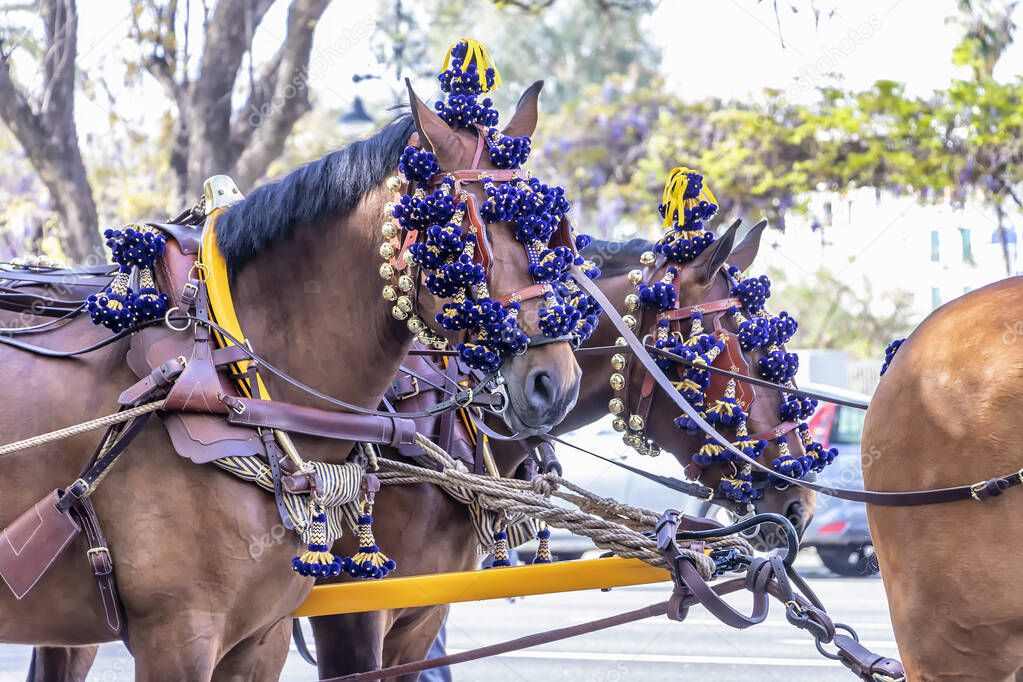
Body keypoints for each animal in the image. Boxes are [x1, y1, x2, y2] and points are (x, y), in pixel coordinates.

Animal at [6, 81, 585, 682]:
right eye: (470, 232)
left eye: (553, 234)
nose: (555, 382)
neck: (236, 389)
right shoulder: (186, 636)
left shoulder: (274, 636)